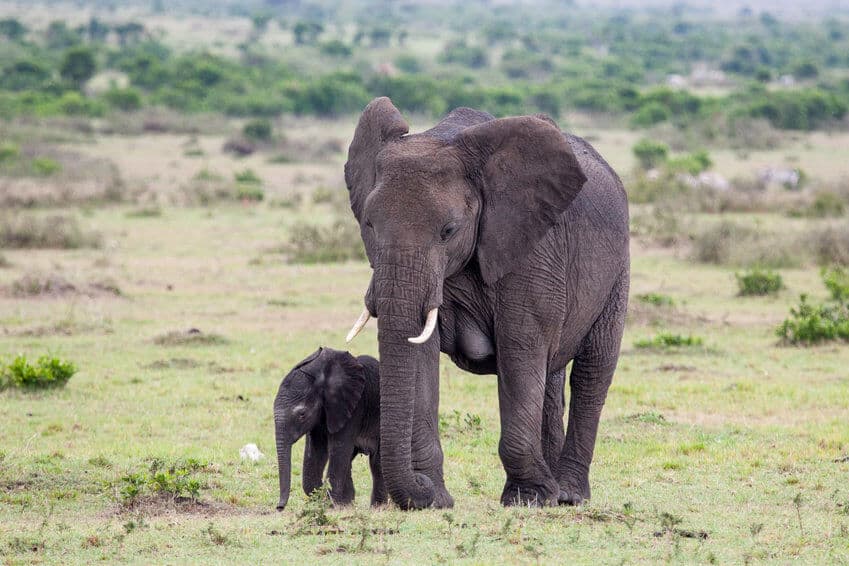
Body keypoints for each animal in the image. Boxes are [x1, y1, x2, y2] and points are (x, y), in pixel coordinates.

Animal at [272, 348, 384, 512]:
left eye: (302, 414)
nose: (279, 507)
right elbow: (316, 451)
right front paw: (327, 501)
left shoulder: (353, 407)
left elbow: (338, 449)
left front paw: (331, 506)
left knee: (376, 463)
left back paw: (378, 508)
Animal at [342, 97, 628, 510]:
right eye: (368, 225)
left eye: (448, 231)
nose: (416, 489)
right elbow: (421, 353)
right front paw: (436, 496)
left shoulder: (532, 248)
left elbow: (520, 347)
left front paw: (528, 498)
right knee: (551, 374)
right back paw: (557, 490)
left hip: (618, 271)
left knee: (593, 369)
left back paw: (569, 495)